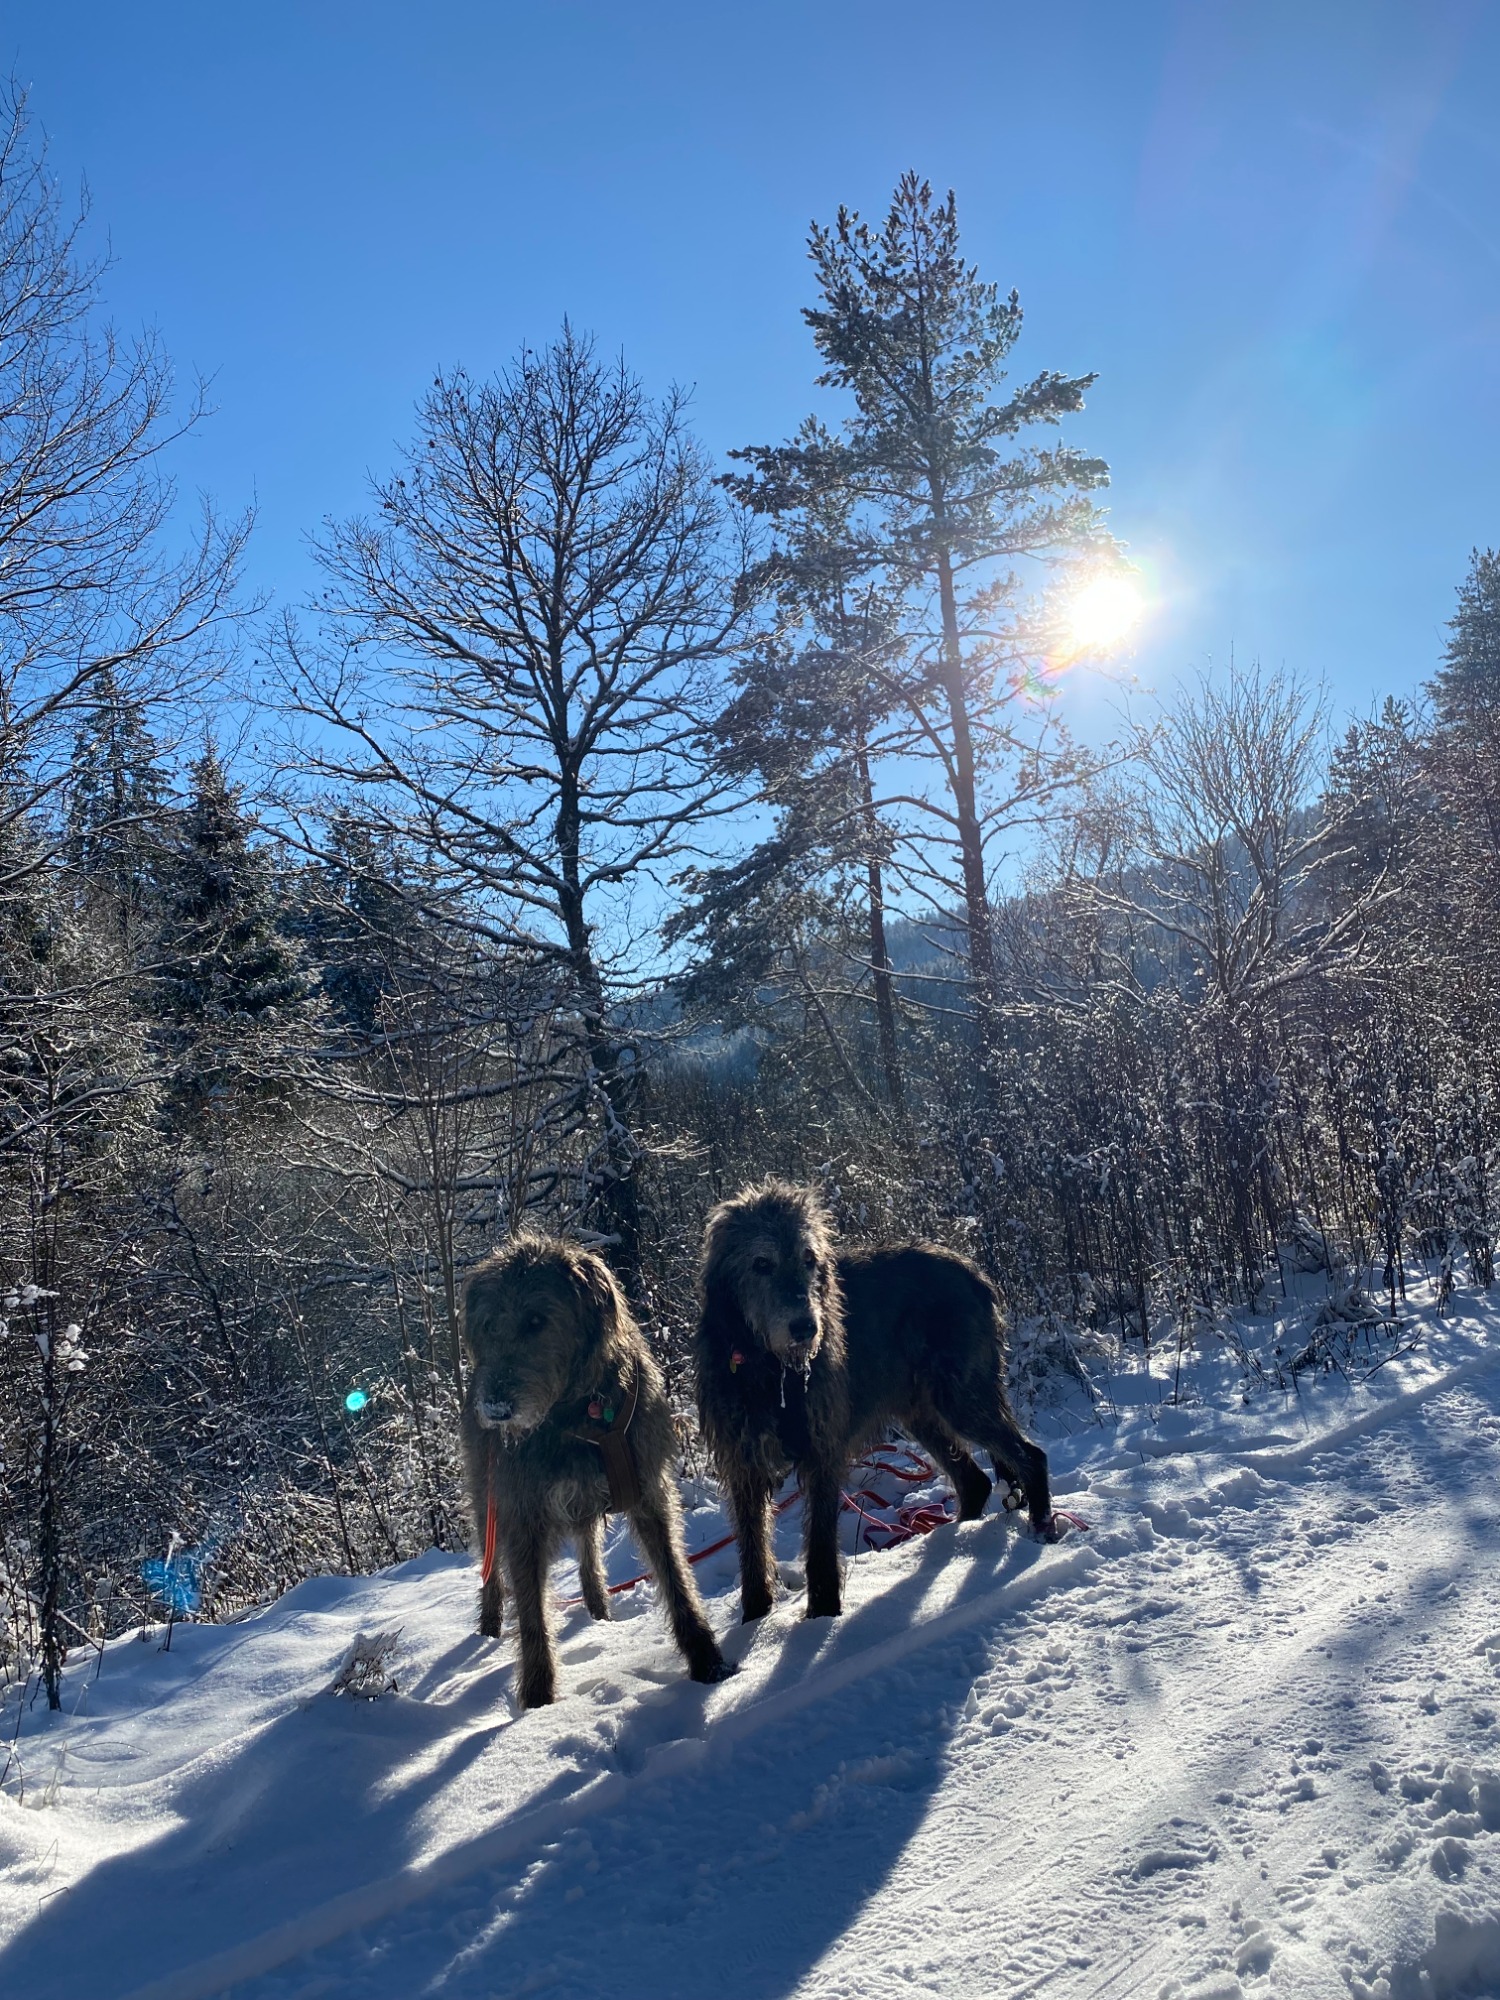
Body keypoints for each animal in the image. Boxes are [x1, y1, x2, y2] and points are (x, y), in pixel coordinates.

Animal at [459, 1235, 732, 1707]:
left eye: (537, 1319)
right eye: (490, 1325)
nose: (494, 1408)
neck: (579, 1412)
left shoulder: (649, 1489)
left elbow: (674, 1575)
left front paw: (705, 1658)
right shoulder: (523, 1511)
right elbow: (531, 1610)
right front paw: (537, 1698)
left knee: (589, 1553)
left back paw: (599, 1611)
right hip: (487, 1492)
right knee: (491, 1563)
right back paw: (490, 1624)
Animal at [695, 1181, 1055, 1622]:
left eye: (809, 1257)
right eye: (761, 1262)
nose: (807, 1328)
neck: (770, 1369)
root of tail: (973, 1272)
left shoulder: (822, 1451)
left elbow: (820, 1546)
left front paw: (822, 1616)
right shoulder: (743, 1462)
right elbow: (751, 1550)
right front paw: (754, 1620)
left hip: (960, 1396)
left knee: (1029, 1456)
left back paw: (1039, 1528)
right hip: (921, 1410)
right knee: (975, 1482)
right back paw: (952, 1541)